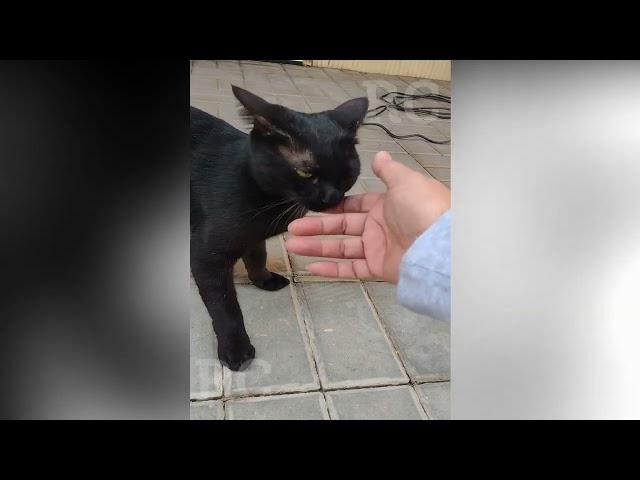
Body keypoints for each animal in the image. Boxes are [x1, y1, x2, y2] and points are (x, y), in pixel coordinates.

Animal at [190, 86, 368, 372]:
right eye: (305, 173)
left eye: (346, 174)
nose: (331, 198)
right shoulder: (206, 258)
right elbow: (225, 307)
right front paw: (236, 348)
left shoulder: (253, 237)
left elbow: (257, 256)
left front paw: (264, 280)